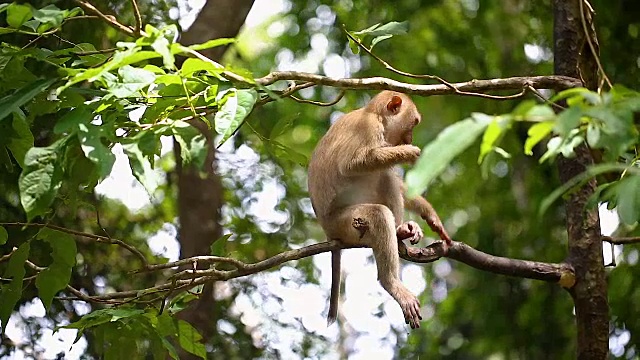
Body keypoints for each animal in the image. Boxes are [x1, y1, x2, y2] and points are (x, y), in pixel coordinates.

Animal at [308, 90, 450, 330]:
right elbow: (351, 164)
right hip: (343, 223)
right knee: (378, 212)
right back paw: (391, 282)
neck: (373, 113)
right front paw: (408, 152)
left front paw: (429, 213)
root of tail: (328, 232)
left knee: (386, 177)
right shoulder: (369, 128)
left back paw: (400, 230)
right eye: (413, 123)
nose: (409, 140)